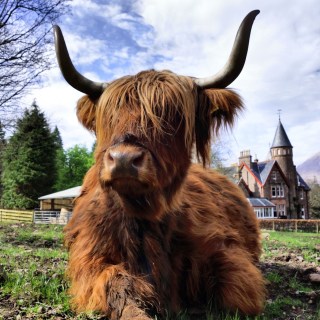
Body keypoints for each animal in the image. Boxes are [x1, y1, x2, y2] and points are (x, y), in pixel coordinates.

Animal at [54, 10, 264, 320]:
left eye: (172, 115)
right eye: (110, 115)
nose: (123, 159)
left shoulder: (225, 251)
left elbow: (235, 295)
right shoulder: (92, 260)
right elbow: (120, 289)